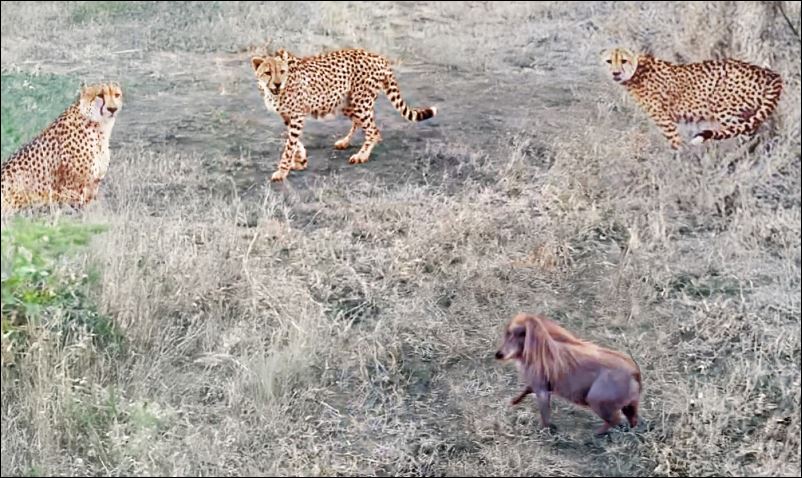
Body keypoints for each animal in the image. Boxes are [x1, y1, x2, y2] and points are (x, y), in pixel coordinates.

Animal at [1, 82, 123, 213]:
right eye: (100, 95)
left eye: (117, 95)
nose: (112, 109)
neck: (100, 127)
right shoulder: (72, 190)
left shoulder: (93, 185)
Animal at [250, 47, 438, 182]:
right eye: (268, 72)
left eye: (282, 71)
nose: (277, 83)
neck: (273, 91)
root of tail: (378, 56)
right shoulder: (289, 117)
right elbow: (295, 142)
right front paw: (301, 160)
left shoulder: (296, 116)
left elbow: (289, 146)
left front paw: (282, 171)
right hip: (347, 103)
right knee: (363, 125)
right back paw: (345, 142)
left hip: (360, 101)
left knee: (373, 131)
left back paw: (362, 155)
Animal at [602, 47, 783, 149]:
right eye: (609, 61)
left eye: (624, 60)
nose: (615, 73)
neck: (636, 72)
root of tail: (769, 73)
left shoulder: (664, 120)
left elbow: (675, 144)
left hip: (723, 109)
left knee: (747, 134)